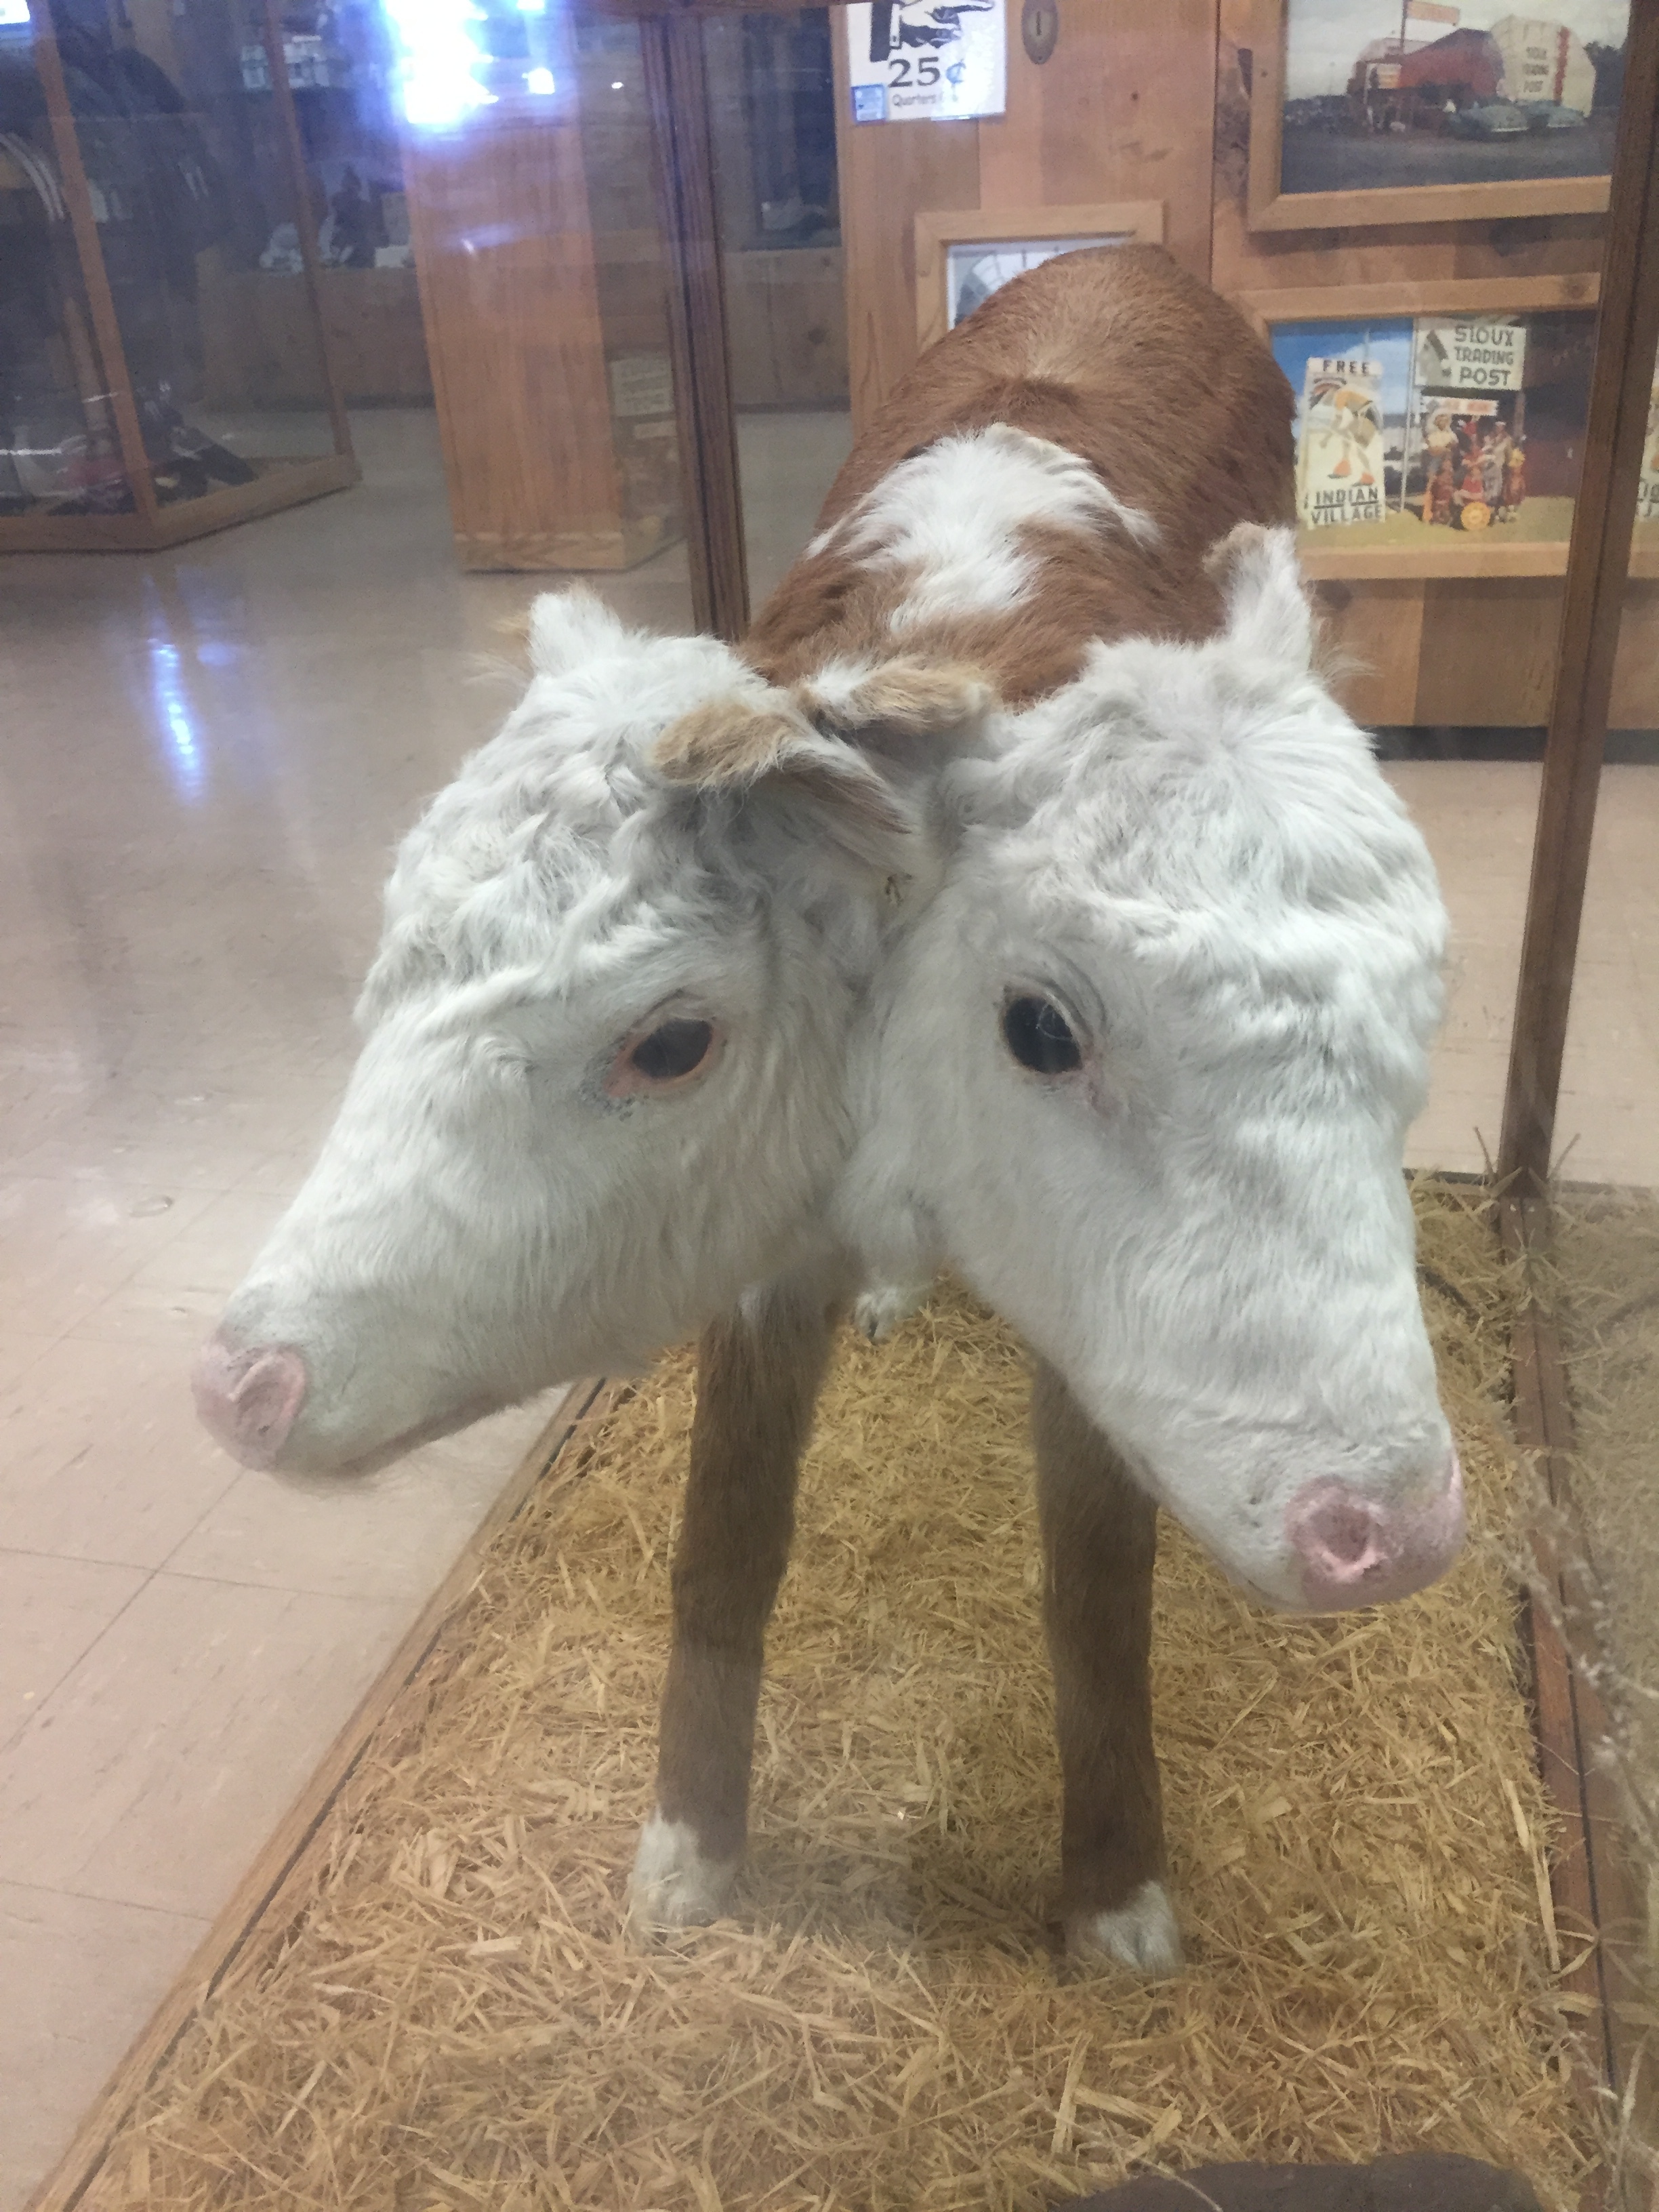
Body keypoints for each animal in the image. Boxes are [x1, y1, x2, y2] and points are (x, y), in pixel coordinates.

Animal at [193, 247, 1459, 1974]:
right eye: (1043, 1027)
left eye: (667, 1043)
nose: (1387, 1529)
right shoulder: (764, 1234)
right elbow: (723, 1535)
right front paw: (687, 1850)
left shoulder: (1089, 1308)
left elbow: (1095, 1582)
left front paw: (1115, 1892)